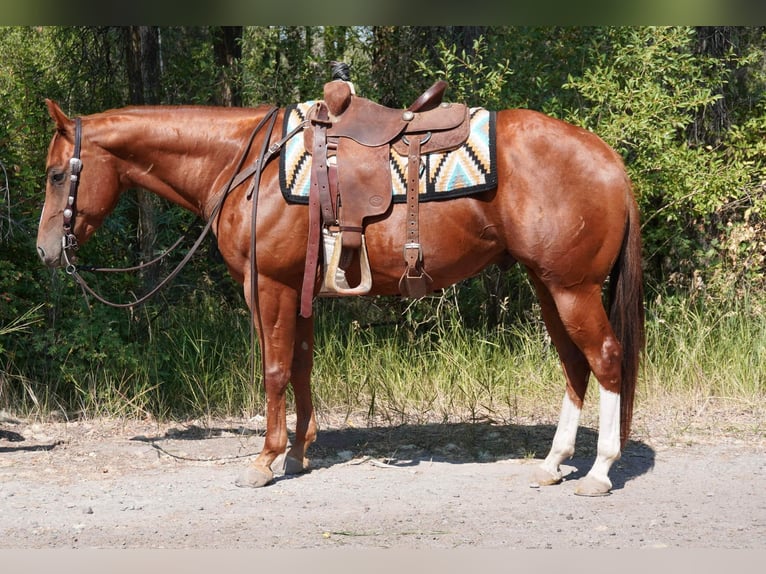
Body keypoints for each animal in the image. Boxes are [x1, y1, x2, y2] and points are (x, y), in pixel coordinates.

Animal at [39, 98, 644, 496]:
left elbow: (275, 369)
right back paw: (553, 463)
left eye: (54, 174)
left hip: (572, 289)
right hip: (549, 286)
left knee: (606, 358)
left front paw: (266, 459)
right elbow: (302, 365)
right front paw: (300, 453)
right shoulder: (298, 288)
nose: (46, 250)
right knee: (575, 365)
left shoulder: (268, 287)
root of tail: (610, 160)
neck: (245, 165)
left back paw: (598, 470)